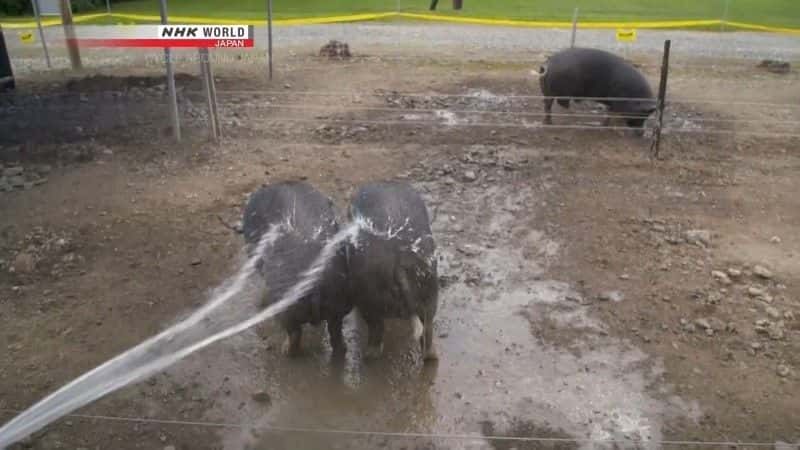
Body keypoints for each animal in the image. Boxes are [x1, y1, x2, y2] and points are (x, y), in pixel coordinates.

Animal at [242, 181, 352, 356]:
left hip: (288, 309)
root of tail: (315, 286)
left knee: (294, 333)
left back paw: (285, 351)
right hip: (338, 303)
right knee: (336, 335)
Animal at [346, 181, 440, 360]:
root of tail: (399, 262)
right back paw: (430, 356)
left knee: (376, 328)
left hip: (368, 299)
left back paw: (370, 355)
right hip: (429, 287)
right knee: (428, 328)